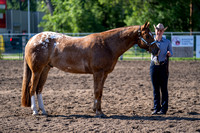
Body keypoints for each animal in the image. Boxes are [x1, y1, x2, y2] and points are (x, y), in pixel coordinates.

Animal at [21, 21, 159, 116]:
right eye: (148, 35)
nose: (157, 50)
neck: (107, 45)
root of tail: (32, 39)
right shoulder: (98, 73)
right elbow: (97, 91)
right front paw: (98, 112)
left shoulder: (104, 74)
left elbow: (100, 92)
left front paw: (99, 111)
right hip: (37, 70)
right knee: (32, 87)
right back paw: (35, 111)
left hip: (45, 69)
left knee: (39, 89)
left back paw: (43, 111)